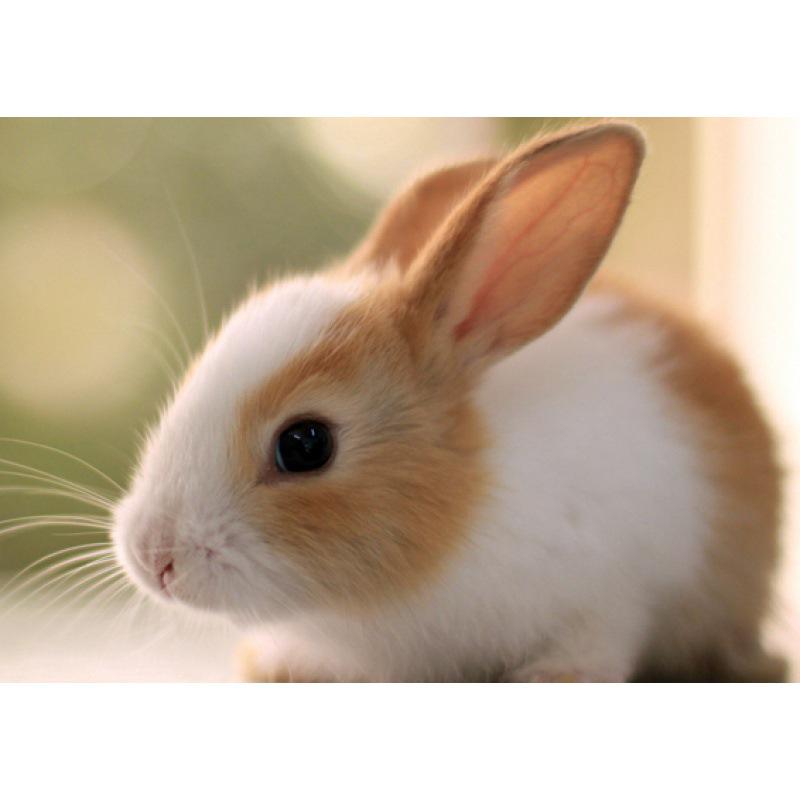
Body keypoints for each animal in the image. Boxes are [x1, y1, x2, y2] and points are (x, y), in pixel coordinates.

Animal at [111, 122, 785, 682]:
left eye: (305, 444)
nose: (154, 557)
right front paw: (281, 665)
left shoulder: (611, 594)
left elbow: (594, 645)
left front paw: (551, 679)